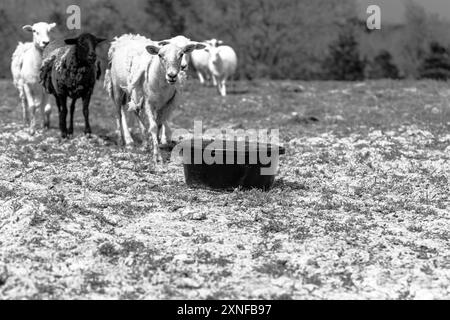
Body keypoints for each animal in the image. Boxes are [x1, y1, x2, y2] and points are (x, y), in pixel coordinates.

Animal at [104, 34, 205, 162]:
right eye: (160, 55)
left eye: (182, 54)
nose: (172, 75)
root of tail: (125, 37)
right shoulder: (149, 102)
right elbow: (153, 127)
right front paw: (157, 156)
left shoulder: (166, 104)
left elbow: (159, 124)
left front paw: (156, 144)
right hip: (117, 87)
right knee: (119, 112)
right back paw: (124, 140)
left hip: (134, 93)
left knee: (135, 111)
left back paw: (144, 140)